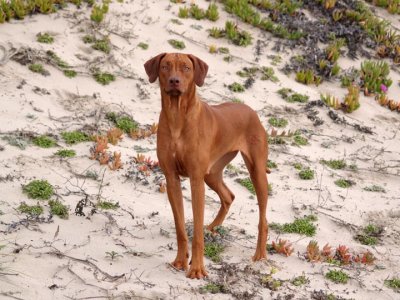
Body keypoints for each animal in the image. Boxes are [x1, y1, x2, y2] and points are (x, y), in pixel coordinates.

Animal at [144, 53, 268, 278]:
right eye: (165, 66)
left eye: (186, 67)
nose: (174, 81)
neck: (177, 116)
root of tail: (250, 110)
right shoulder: (172, 179)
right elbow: (180, 228)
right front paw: (180, 261)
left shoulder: (196, 180)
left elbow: (197, 232)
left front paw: (197, 268)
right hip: (211, 173)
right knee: (228, 196)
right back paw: (213, 228)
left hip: (256, 172)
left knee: (263, 219)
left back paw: (260, 255)